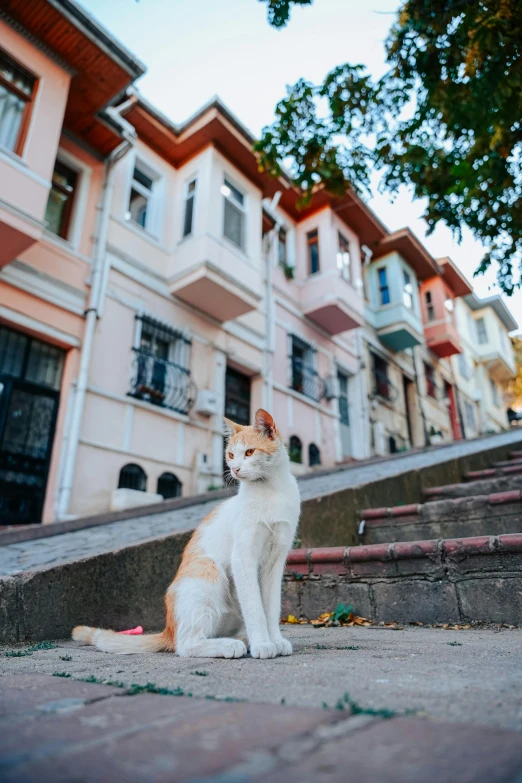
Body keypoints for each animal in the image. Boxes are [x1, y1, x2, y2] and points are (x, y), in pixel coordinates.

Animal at [73, 410, 300, 660]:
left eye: (249, 452)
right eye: (231, 455)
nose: (235, 469)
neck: (271, 491)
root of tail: (168, 630)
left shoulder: (275, 562)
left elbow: (271, 607)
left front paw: (275, 640)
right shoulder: (243, 558)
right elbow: (254, 607)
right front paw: (262, 644)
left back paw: (240, 639)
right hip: (209, 574)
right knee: (186, 645)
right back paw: (230, 645)